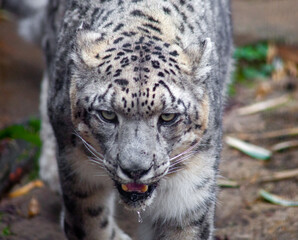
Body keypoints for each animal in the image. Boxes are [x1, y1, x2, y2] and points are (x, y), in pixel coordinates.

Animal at [2, 0, 234, 239]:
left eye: (168, 116)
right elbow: (92, 224)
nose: (135, 170)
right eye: (107, 115)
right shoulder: (78, 169)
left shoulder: (191, 190)